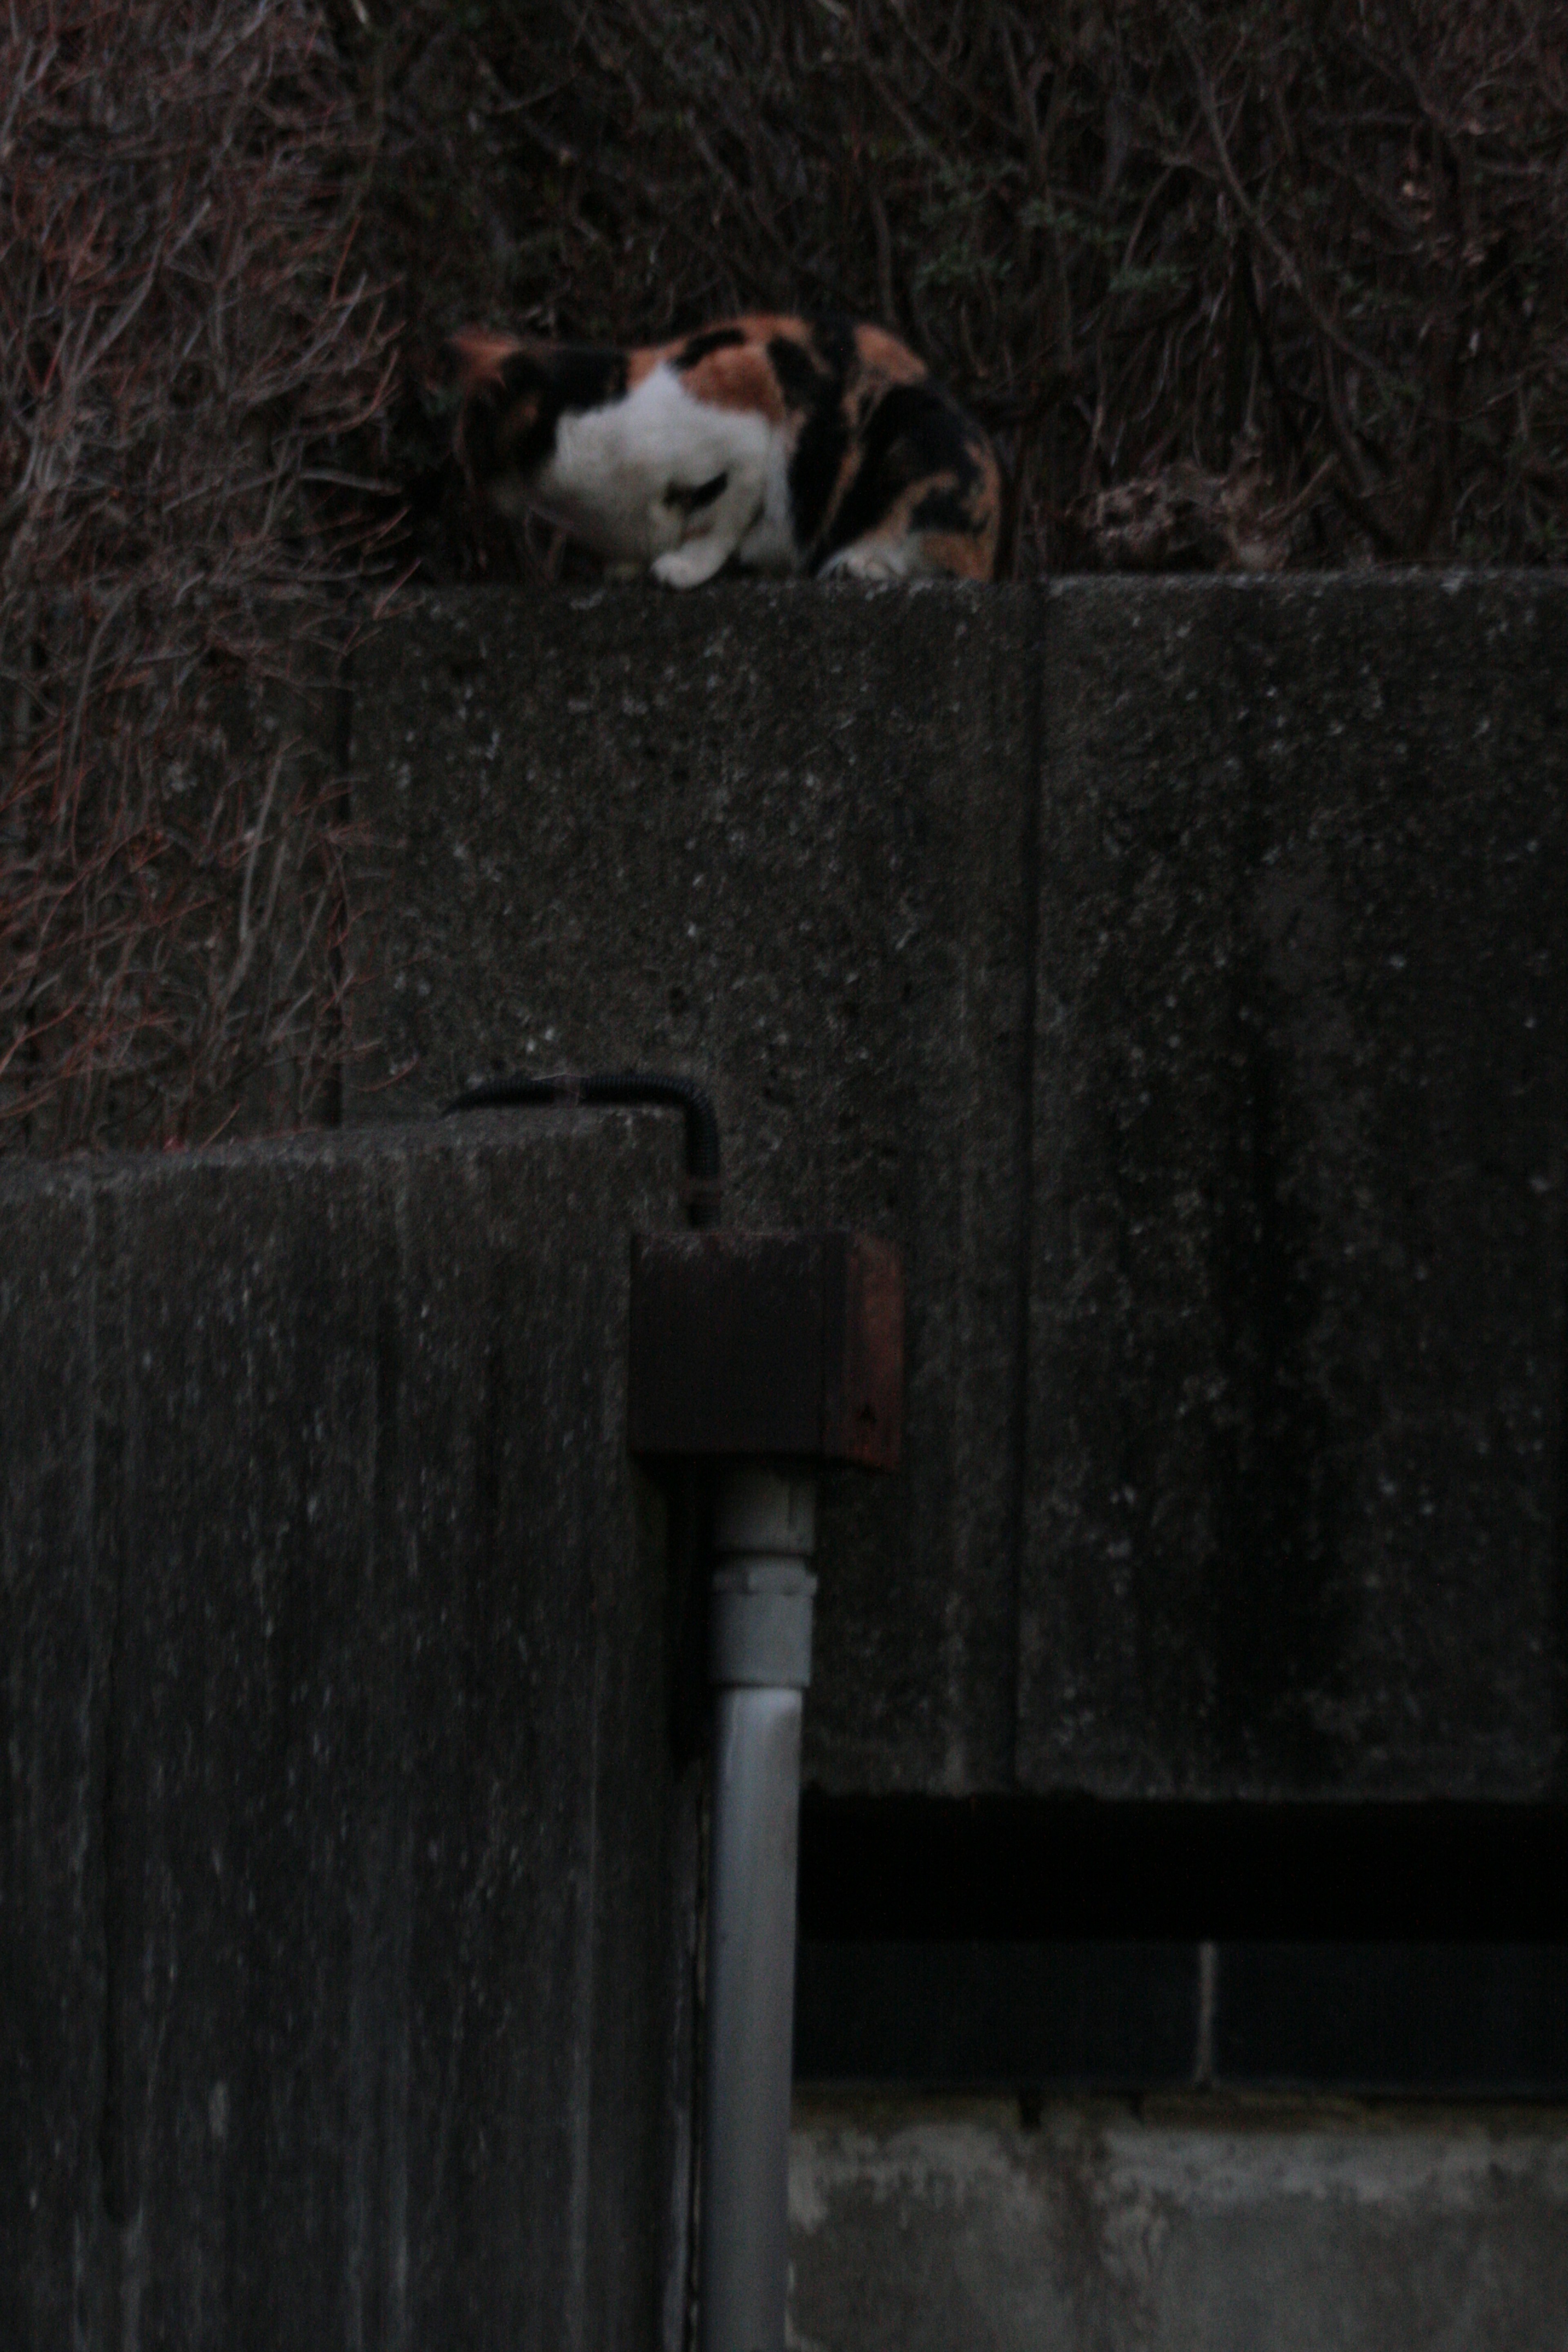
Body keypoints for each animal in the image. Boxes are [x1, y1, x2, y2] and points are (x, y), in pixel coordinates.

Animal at [446, 313, 1001, 583]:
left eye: (471, 447)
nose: (466, 489)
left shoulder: (749, 428)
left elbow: (718, 522)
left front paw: (682, 568)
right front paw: (627, 568)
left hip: (917, 440)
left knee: (937, 555)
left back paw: (861, 563)